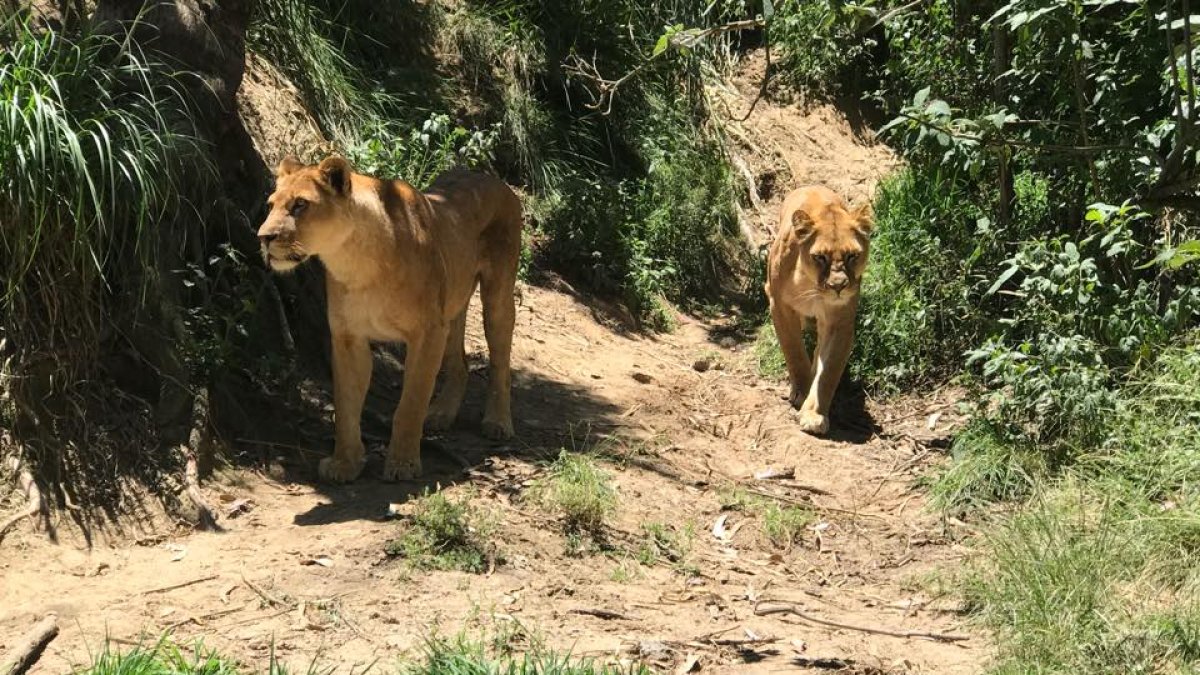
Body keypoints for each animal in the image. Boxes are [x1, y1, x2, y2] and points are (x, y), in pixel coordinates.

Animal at [257, 155, 522, 482]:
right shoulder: (348, 336)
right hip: (451, 307)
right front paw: (344, 464)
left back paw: (498, 422)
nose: (263, 237)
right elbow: (345, 407)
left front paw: (403, 464)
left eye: (300, 205)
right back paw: (440, 414)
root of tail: (493, 179)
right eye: (271, 205)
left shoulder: (427, 333)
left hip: (496, 296)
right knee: (460, 363)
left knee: (500, 361)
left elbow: (410, 403)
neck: (356, 262)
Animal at [765, 185, 872, 435]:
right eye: (820, 257)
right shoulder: (779, 306)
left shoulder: (839, 320)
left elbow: (828, 371)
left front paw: (814, 414)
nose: (838, 286)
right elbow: (794, 350)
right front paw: (802, 391)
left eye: (852, 256)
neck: (810, 284)